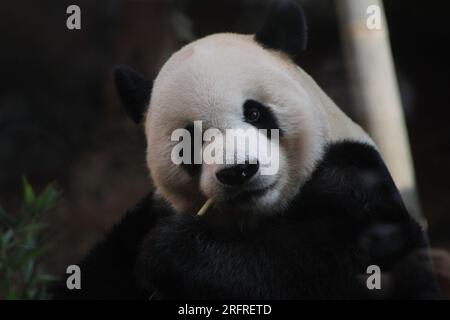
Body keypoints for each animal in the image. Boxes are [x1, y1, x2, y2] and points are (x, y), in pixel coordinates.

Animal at [53, 0, 440, 300]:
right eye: (189, 140)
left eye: (254, 112)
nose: (238, 171)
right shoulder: (144, 218)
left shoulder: (357, 181)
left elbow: (343, 270)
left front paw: (175, 253)